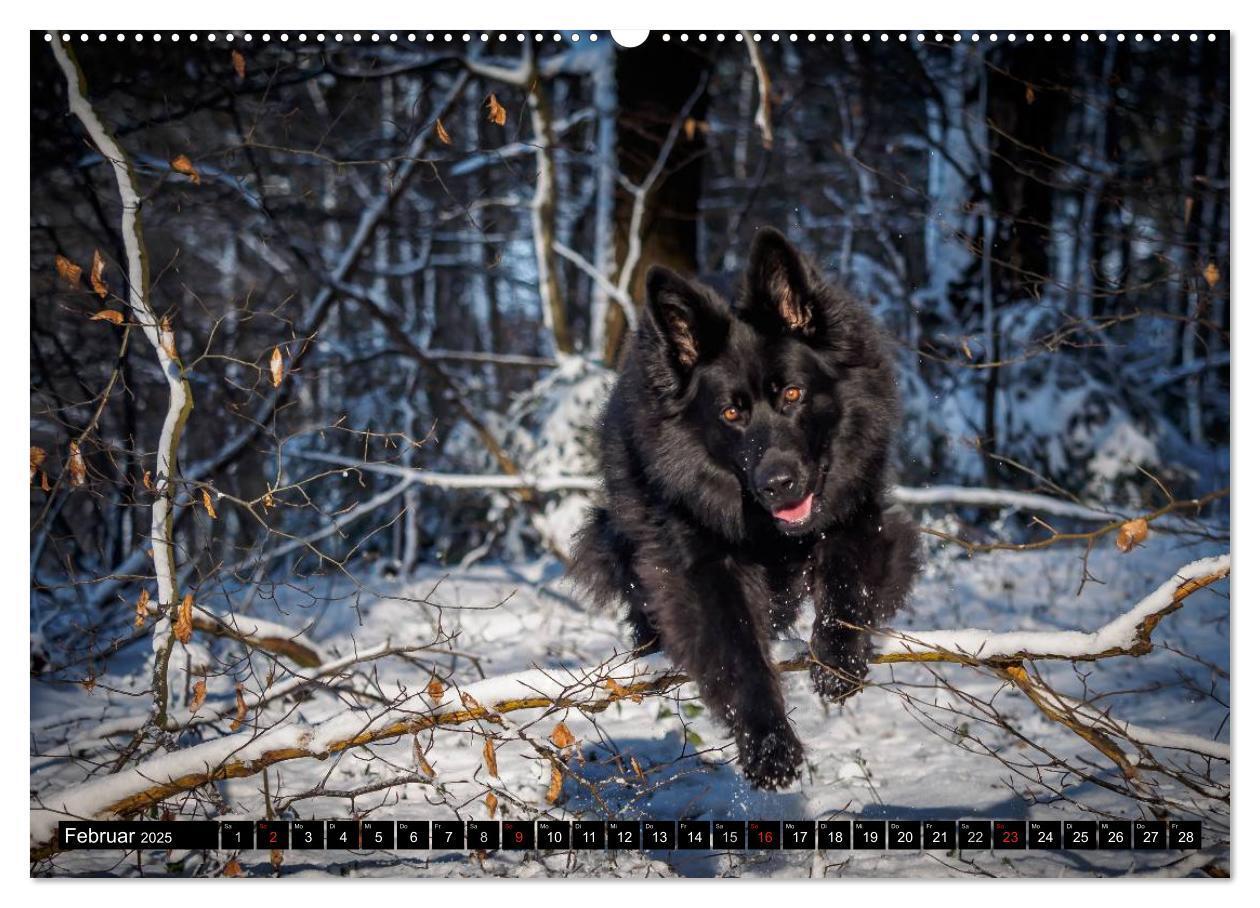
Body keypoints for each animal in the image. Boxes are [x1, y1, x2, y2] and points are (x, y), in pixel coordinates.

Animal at [572, 226, 917, 785]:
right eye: (731, 413)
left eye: (793, 394)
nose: (778, 484)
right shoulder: (699, 565)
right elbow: (738, 653)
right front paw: (769, 746)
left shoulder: (858, 512)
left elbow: (848, 581)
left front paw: (837, 661)